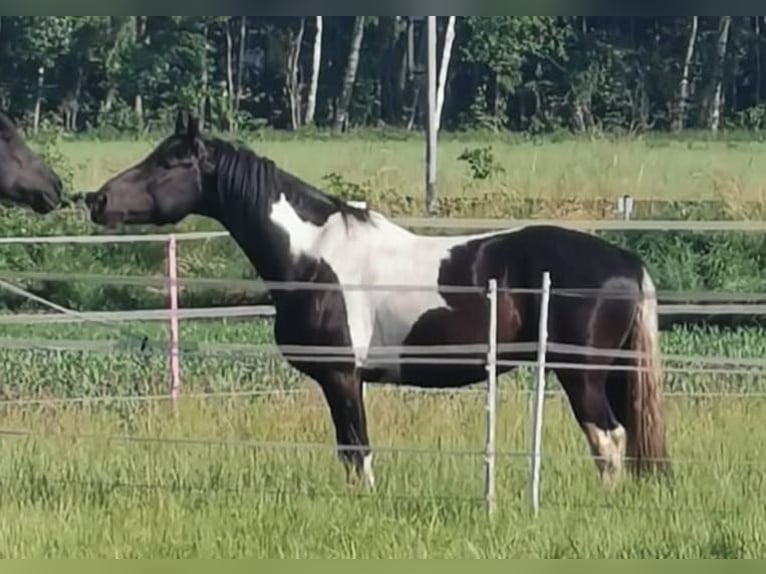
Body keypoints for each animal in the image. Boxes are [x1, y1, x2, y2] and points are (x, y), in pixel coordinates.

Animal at [85, 112, 672, 490]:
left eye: (169, 163)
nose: (97, 200)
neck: (312, 256)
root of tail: (626, 260)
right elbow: (349, 451)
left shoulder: (343, 375)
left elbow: (357, 449)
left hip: (582, 374)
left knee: (609, 440)